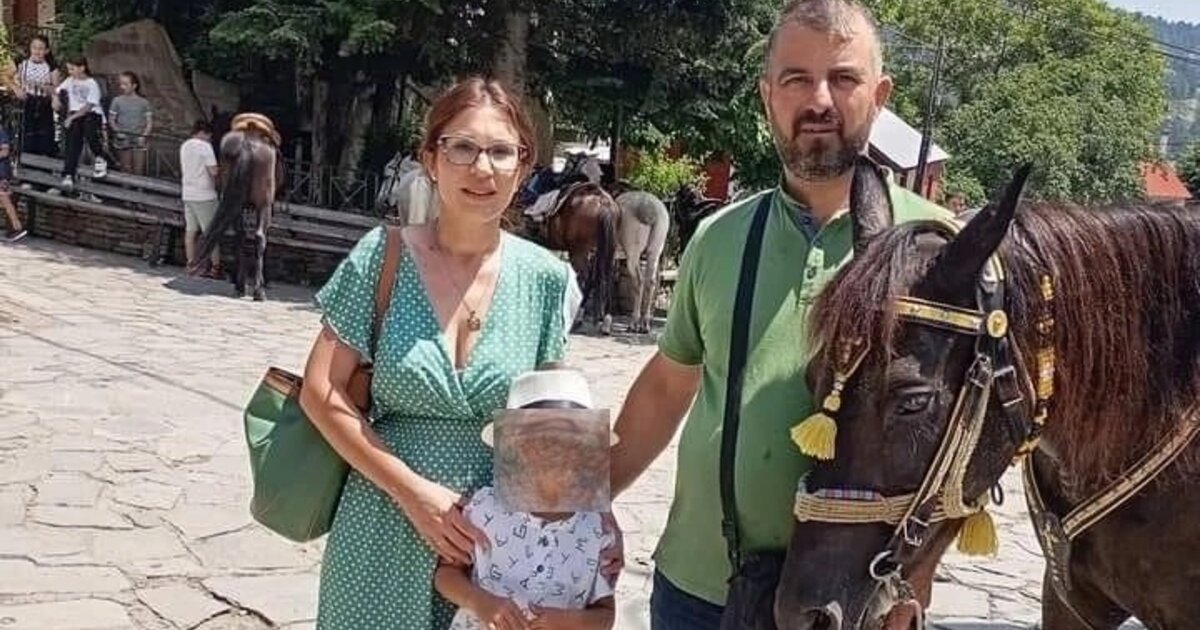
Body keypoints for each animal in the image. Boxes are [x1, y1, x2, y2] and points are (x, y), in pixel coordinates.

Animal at [188, 113, 284, 302]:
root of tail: (246, 143)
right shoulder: (268, 205)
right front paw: (264, 281)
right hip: (263, 205)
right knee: (259, 237)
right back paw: (258, 291)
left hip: (238, 204)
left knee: (240, 235)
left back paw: (239, 285)